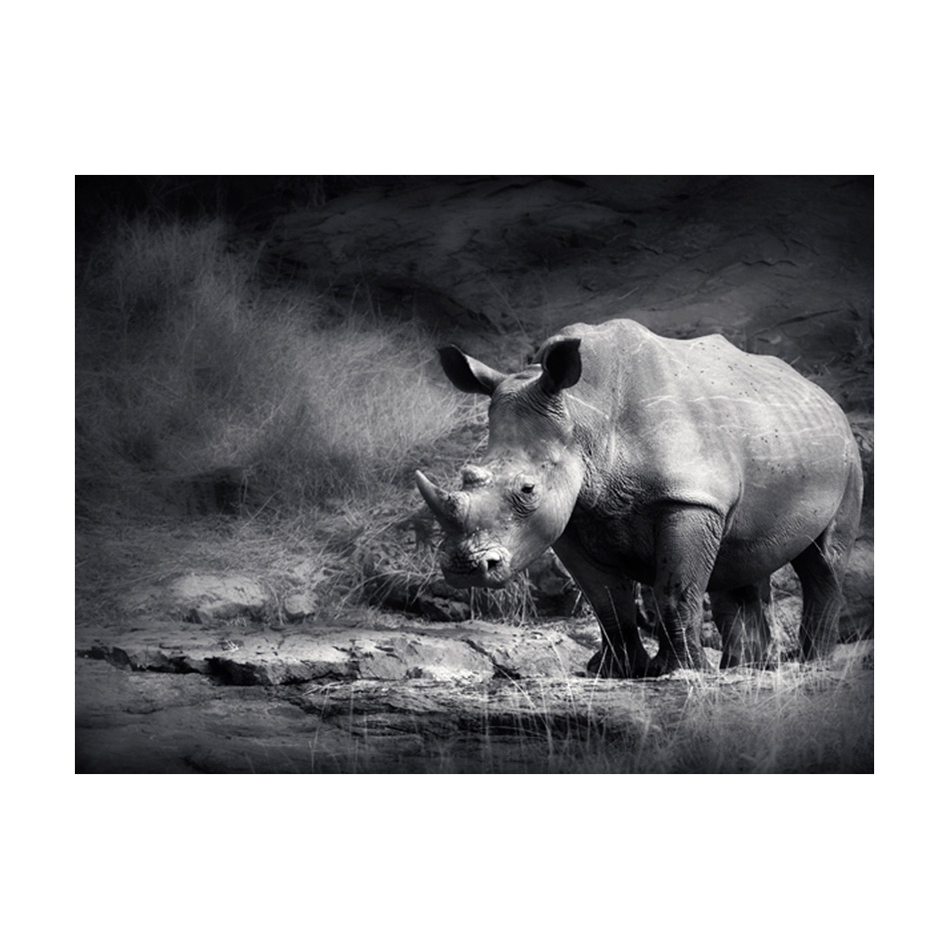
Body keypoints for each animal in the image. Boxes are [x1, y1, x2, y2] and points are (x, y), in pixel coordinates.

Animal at [415, 318, 863, 677]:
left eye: (528, 489)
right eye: (466, 476)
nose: (464, 569)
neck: (584, 415)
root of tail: (820, 392)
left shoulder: (689, 499)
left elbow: (674, 591)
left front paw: (683, 672)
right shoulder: (574, 517)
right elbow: (607, 602)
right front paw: (616, 672)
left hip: (846, 454)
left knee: (821, 561)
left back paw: (811, 664)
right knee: (740, 563)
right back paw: (747, 668)